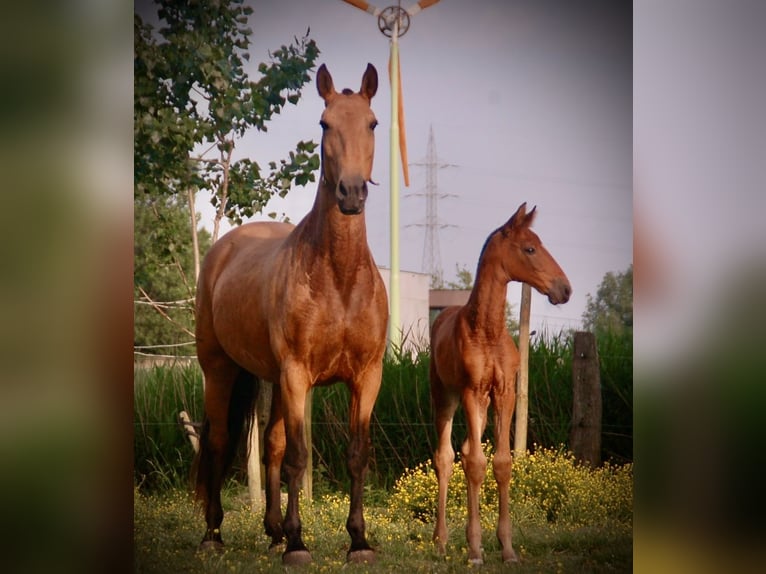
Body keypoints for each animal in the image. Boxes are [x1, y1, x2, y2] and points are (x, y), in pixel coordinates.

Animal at [192, 63, 388, 565]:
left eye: (373, 123)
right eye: (324, 124)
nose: (351, 193)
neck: (339, 277)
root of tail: (224, 248)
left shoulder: (367, 376)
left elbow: (355, 454)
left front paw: (358, 540)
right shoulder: (298, 374)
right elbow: (300, 456)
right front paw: (300, 544)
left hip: (273, 380)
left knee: (271, 447)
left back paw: (274, 530)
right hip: (221, 370)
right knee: (220, 442)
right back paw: (214, 533)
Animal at [429, 202, 571, 564]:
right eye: (530, 248)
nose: (565, 290)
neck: (488, 330)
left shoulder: (504, 392)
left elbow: (502, 463)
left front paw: (507, 548)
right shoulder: (471, 390)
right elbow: (476, 464)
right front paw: (475, 550)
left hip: (481, 403)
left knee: (465, 450)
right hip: (445, 396)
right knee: (445, 457)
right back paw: (441, 541)